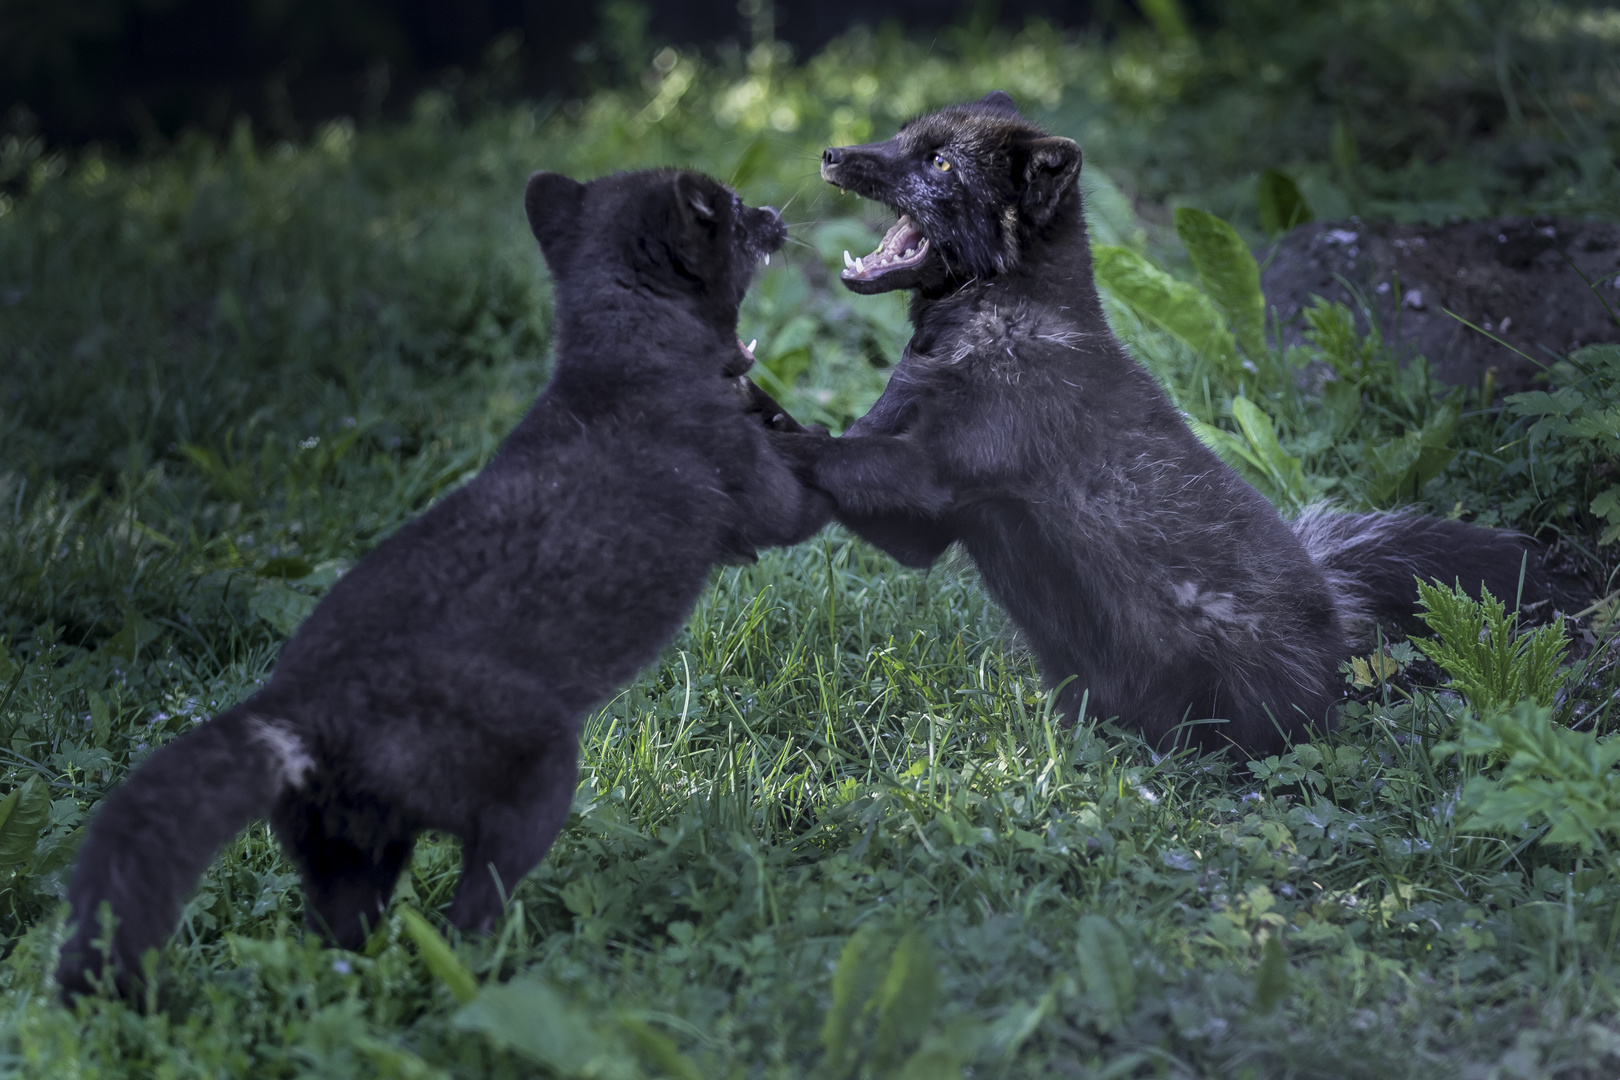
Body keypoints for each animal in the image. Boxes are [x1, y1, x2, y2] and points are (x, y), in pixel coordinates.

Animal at [803, 90, 1548, 751]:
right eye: (902, 137)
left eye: (939, 163)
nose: (831, 152)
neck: (997, 325)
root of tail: (1338, 614)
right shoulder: (920, 526)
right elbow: (839, 448)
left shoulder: (933, 474)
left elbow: (829, 454)